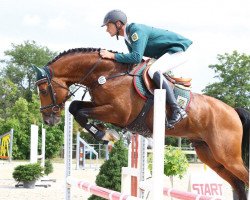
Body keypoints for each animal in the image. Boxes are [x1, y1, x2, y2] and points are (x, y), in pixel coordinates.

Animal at [33, 47, 248, 199]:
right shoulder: (100, 105)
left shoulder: (118, 113)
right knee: (238, 184)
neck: (106, 75)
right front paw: (103, 132)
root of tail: (233, 111)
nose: (48, 119)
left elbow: (80, 111)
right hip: (210, 156)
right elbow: (75, 107)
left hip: (227, 156)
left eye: (43, 90)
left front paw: (107, 134)